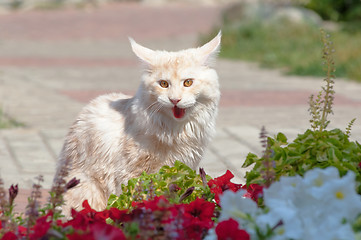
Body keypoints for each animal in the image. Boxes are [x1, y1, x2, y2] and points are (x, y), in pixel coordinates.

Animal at [54, 31, 221, 217]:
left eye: (188, 82)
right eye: (164, 84)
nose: (174, 100)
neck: (175, 130)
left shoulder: (182, 168)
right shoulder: (132, 173)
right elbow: (136, 197)